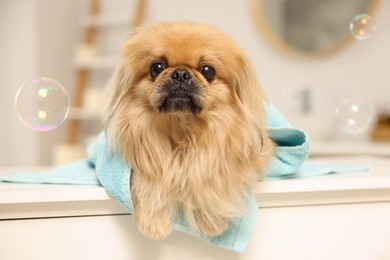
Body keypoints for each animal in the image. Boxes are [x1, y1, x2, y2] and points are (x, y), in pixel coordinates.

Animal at [103, 21, 274, 241]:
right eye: (157, 67)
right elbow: (151, 181)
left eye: (208, 70)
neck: (183, 130)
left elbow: (213, 178)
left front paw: (213, 223)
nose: (181, 74)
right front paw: (154, 223)